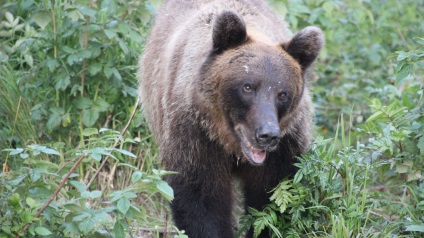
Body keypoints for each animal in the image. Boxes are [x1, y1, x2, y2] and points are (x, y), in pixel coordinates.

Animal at [137, 0, 322, 236]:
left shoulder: (285, 147)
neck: (230, 144)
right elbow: (202, 200)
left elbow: (274, 200)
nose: (267, 135)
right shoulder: (195, 136)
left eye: (283, 94)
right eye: (248, 86)